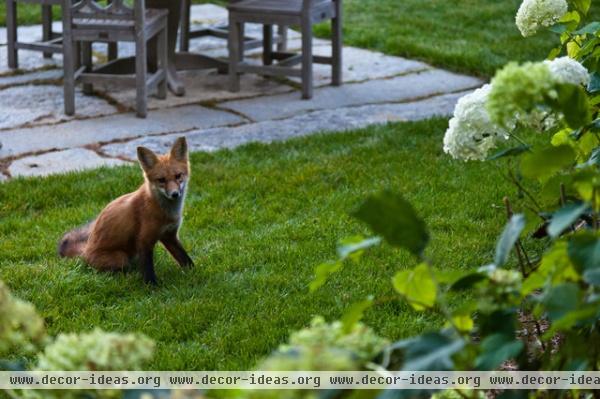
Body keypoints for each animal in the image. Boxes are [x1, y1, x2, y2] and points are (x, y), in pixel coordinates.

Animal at [57, 137, 193, 284]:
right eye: (161, 180)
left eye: (178, 176)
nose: (175, 194)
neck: (166, 211)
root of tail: (85, 251)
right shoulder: (144, 240)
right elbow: (148, 270)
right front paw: (152, 286)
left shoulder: (169, 235)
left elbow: (185, 258)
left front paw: (194, 273)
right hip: (121, 258)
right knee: (113, 271)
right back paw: (127, 276)